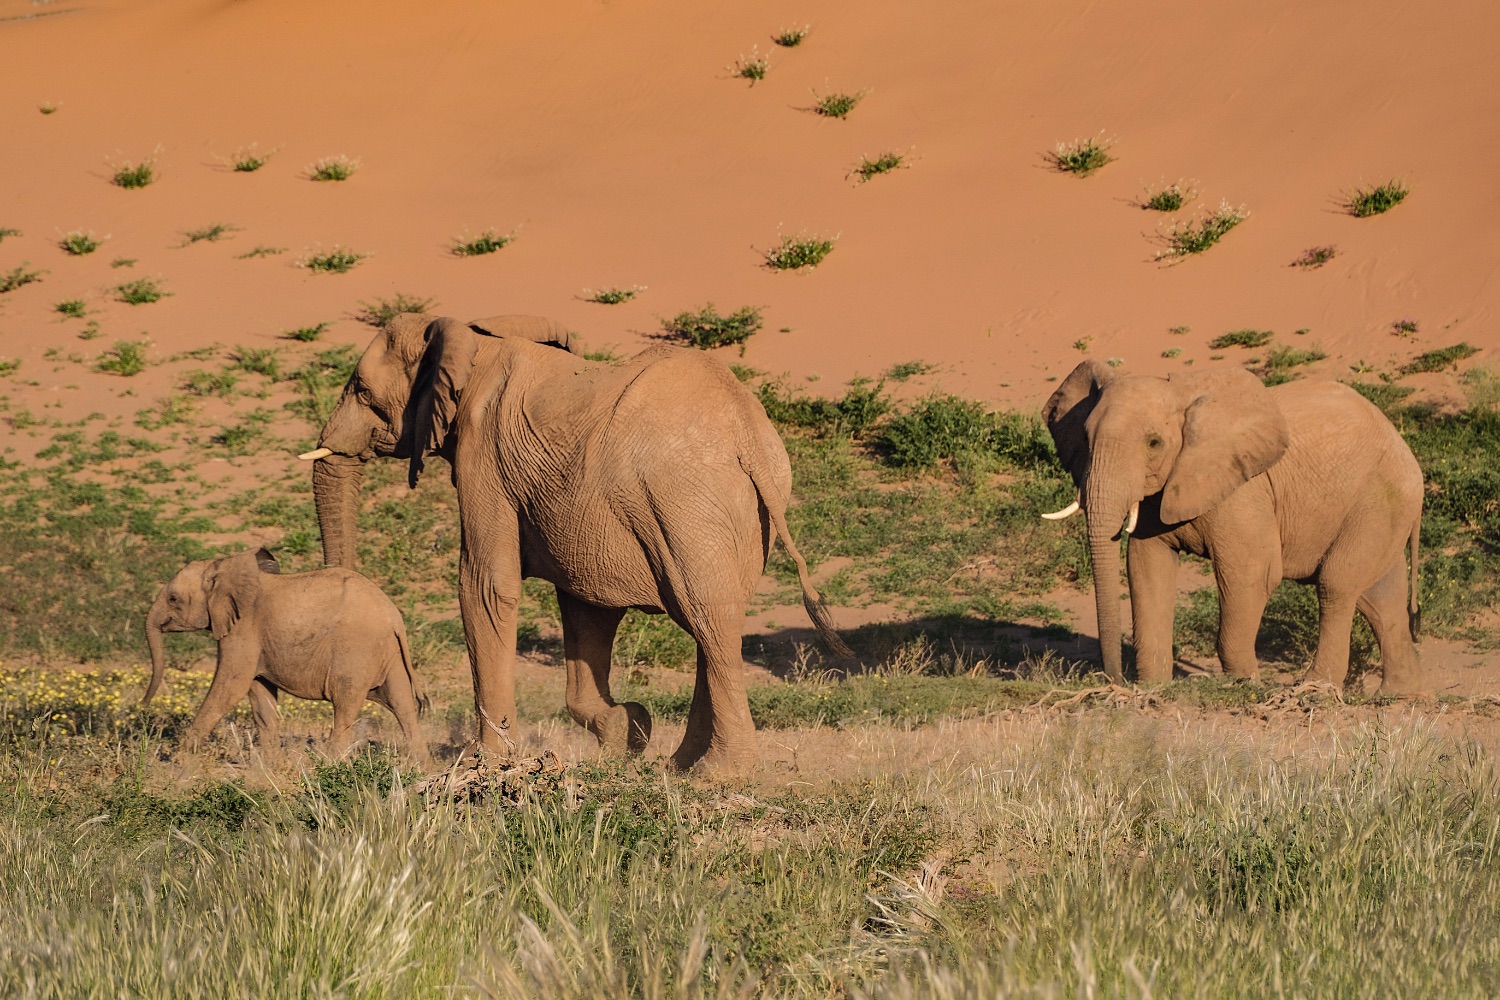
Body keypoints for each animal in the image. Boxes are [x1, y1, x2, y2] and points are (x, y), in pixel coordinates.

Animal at [144, 547, 429, 755]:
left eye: (173, 599)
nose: (143, 706)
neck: (224, 566)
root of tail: (394, 617)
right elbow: (260, 695)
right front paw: (266, 771)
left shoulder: (243, 628)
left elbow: (231, 685)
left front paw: (180, 766)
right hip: (391, 655)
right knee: (403, 706)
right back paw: (419, 770)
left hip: (356, 651)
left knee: (345, 706)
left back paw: (329, 767)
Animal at [299, 313, 849, 774]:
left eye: (361, 390)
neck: (476, 338)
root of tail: (747, 436)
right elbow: (587, 609)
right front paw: (627, 732)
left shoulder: (483, 454)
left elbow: (485, 586)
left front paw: (486, 761)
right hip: (739, 514)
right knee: (714, 627)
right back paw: (678, 767)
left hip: (685, 504)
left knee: (709, 621)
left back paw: (718, 775)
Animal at [1041, 359, 1423, 692]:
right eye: (1085, 440)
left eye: (1153, 443)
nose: (1114, 681)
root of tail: (1405, 447)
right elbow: (1147, 567)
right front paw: (1153, 687)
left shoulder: (1243, 488)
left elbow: (1252, 572)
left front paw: (1243, 684)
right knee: (1379, 598)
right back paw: (1400, 695)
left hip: (1378, 499)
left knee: (1337, 585)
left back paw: (1315, 687)